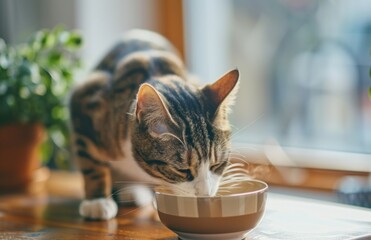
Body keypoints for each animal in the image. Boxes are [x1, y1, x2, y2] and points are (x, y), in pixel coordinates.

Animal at [69, 29, 240, 220]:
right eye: (182, 170)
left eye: (216, 165)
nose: (205, 195)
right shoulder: (86, 101)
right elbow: (91, 164)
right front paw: (96, 201)